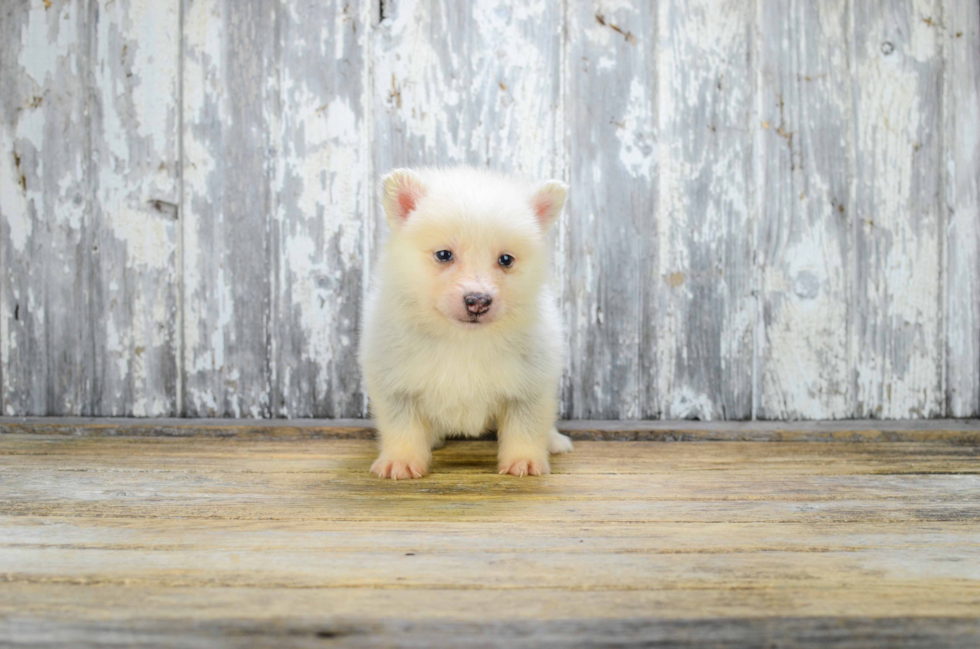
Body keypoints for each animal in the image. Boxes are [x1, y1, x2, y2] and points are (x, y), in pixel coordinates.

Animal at [360, 166, 576, 480]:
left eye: (506, 260)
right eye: (444, 255)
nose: (478, 301)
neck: (462, 339)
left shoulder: (531, 386)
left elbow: (526, 425)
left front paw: (523, 460)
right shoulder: (396, 385)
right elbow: (402, 427)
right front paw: (400, 461)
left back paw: (554, 440)